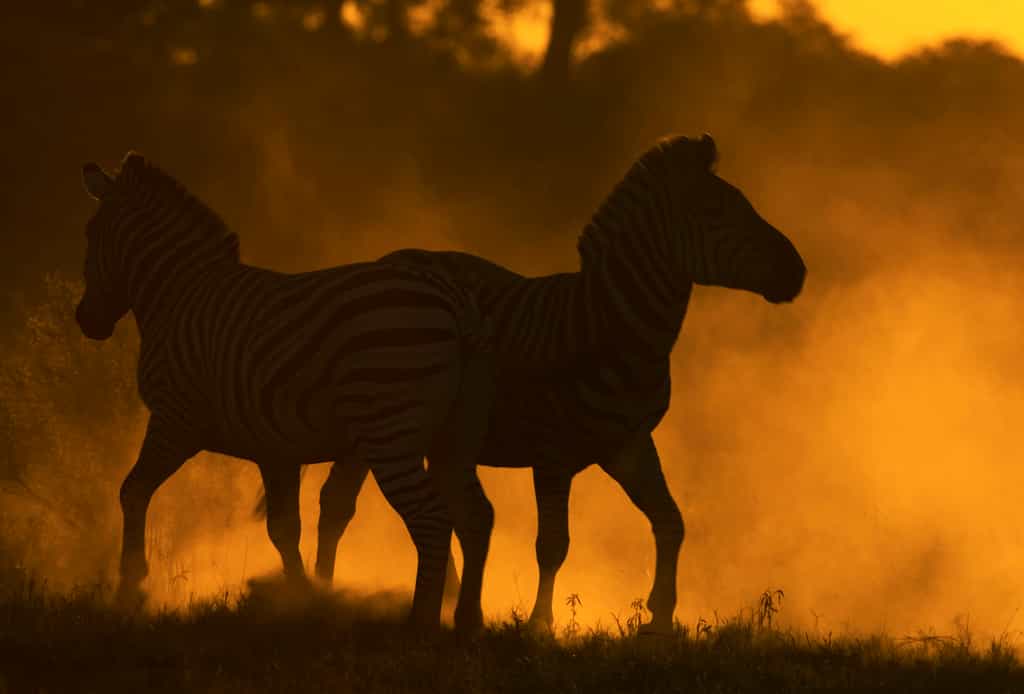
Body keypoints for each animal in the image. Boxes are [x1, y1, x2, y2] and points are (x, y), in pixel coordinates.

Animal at [75, 152, 495, 630]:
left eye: (91, 234)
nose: (85, 321)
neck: (179, 296)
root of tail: (455, 302)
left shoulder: (174, 419)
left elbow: (133, 490)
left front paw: (129, 586)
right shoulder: (274, 448)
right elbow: (283, 529)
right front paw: (302, 598)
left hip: (392, 435)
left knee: (433, 520)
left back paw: (420, 623)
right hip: (453, 438)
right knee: (476, 516)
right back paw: (468, 621)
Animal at [255, 134, 806, 634]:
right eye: (718, 210)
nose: (798, 272)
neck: (608, 328)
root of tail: (391, 258)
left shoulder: (628, 444)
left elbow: (671, 523)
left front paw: (661, 618)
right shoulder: (552, 453)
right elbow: (553, 545)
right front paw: (541, 624)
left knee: (358, 503)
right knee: (340, 504)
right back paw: (330, 596)